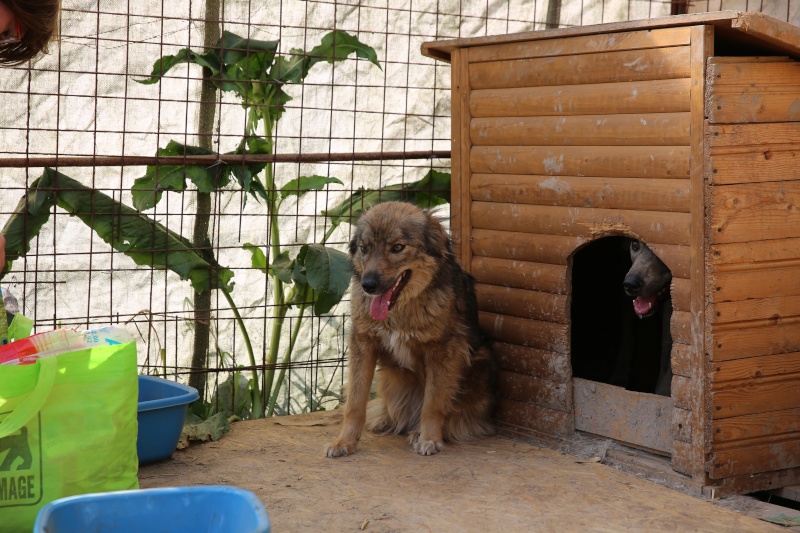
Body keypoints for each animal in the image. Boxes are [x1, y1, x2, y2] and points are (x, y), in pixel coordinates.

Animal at [324, 202, 494, 456]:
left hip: (479, 364)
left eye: (397, 247)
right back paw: (387, 420)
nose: (368, 285)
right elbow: (355, 402)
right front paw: (344, 441)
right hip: (389, 380)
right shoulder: (363, 342)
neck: (398, 313)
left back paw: (418, 432)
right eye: (365, 248)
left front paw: (429, 438)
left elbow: (433, 404)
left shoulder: (444, 349)